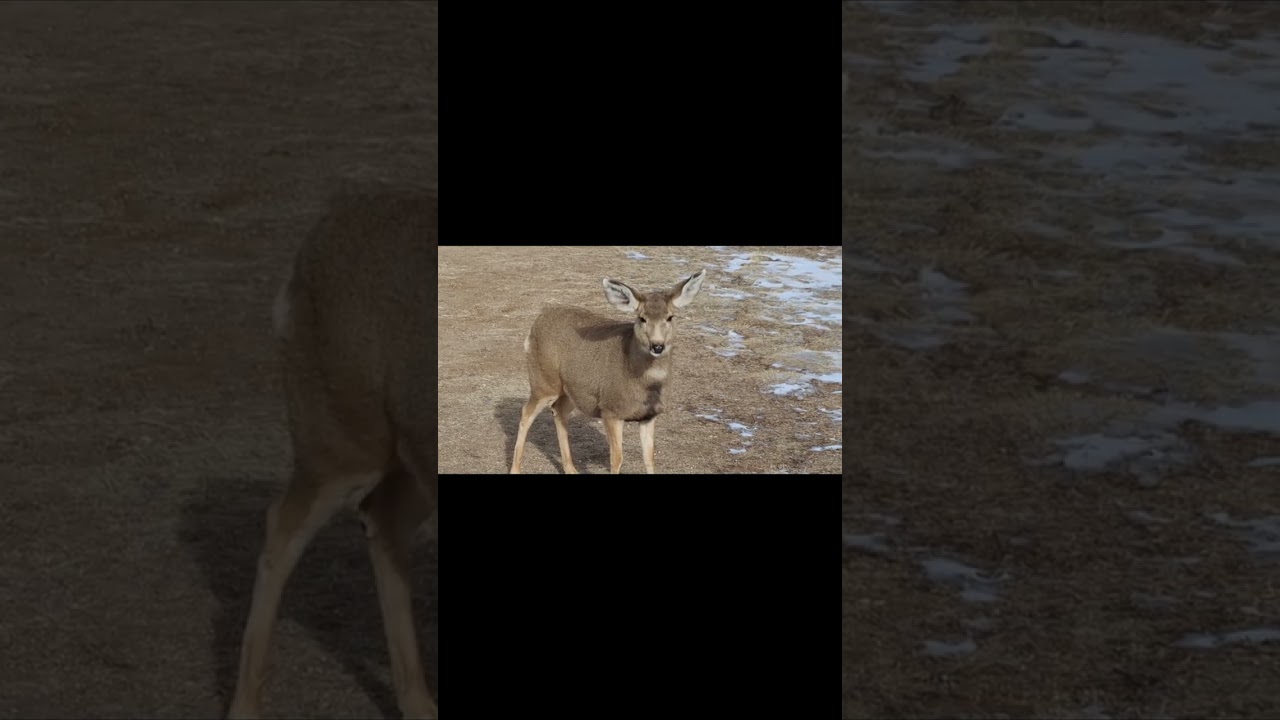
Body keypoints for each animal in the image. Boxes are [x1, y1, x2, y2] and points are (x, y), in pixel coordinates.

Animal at [227, 189, 438, 719]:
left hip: (407, 453)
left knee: (382, 518)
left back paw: (419, 702)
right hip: (339, 437)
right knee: (282, 527)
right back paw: (244, 705)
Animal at [509, 268, 706, 474]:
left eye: (670, 317)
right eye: (642, 318)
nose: (657, 346)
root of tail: (534, 326)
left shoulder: (649, 416)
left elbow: (649, 457)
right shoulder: (611, 410)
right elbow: (617, 458)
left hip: (573, 391)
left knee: (559, 410)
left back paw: (571, 468)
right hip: (544, 380)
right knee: (526, 413)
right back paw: (515, 469)